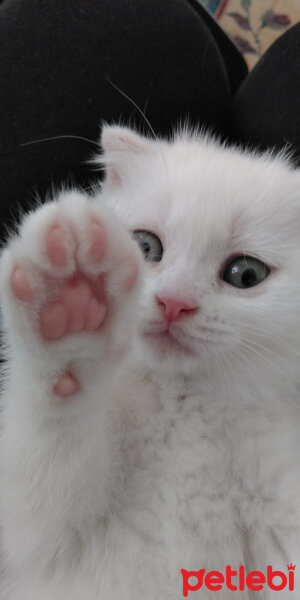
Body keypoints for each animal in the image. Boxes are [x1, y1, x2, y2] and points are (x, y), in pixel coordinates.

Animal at [0, 124, 298, 596]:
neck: (190, 408)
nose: (173, 302)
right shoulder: (42, 543)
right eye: (146, 246)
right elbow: (45, 459)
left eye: (246, 274)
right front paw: (69, 305)